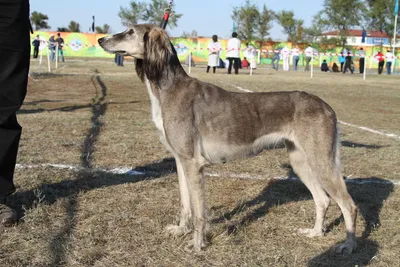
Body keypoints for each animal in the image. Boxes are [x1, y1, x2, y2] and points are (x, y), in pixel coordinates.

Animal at [98, 24, 358, 254]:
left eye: (130, 32)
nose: (101, 39)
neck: (169, 88)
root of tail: (327, 107)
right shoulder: (181, 161)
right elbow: (185, 204)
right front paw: (181, 229)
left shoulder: (194, 164)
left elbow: (199, 212)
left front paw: (198, 244)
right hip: (300, 161)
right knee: (323, 200)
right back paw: (315, 233)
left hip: (320, 162)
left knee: (348, 205)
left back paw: (348, 245)